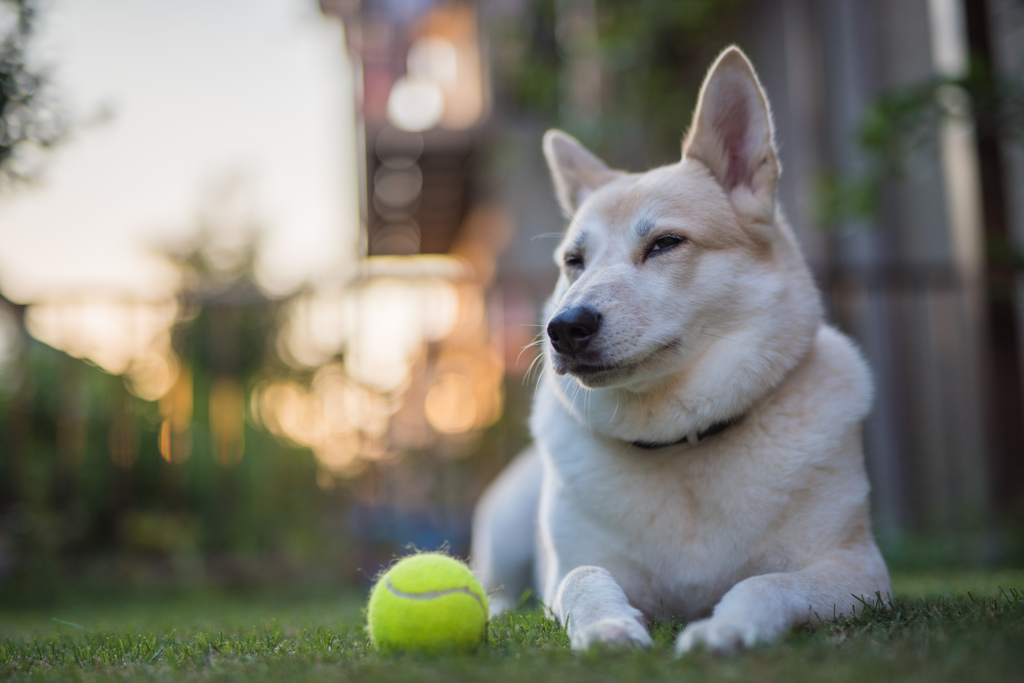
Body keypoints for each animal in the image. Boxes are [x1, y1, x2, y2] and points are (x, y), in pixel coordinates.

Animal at [471, 45, 888, 655]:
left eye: (665, 243)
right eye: (574, 261)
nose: (564, 328)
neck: (681, 440)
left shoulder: (858, 571)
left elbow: (766, 583)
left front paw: (726, 627)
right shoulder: (576, 568)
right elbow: (583, 579)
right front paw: (606, 627)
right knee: (494, 586)